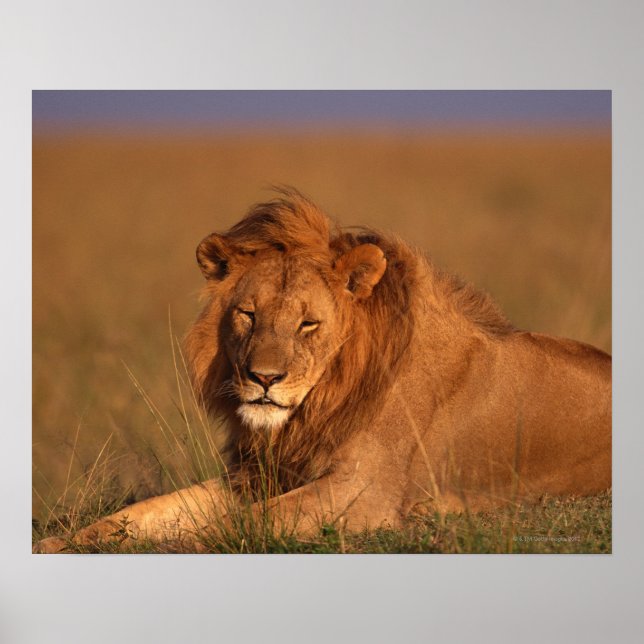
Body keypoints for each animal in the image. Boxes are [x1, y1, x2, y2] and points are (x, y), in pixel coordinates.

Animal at [34, 189, 611, 552]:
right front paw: (59, 542)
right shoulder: (259, 474)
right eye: (248, 314)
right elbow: (144, 512)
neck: (324, 400)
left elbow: (242, 523)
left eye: (308, 324)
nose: (264, 379)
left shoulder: (366, 493)